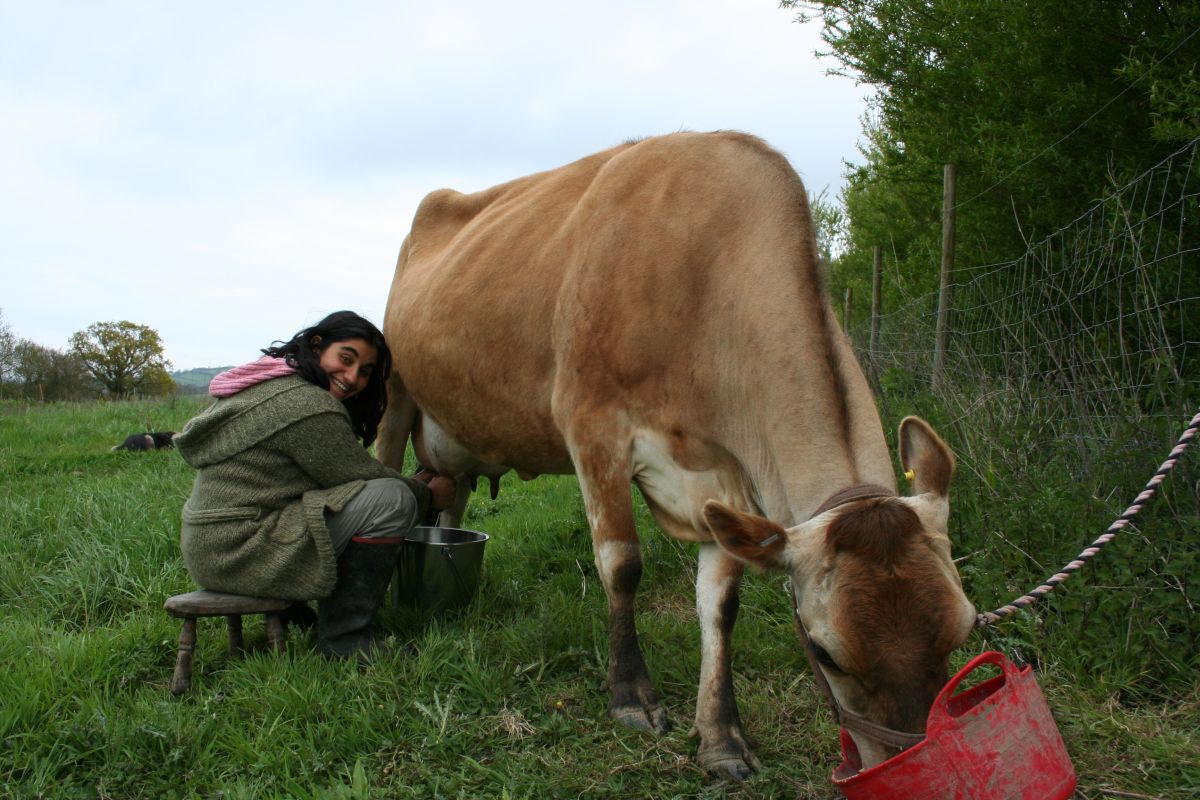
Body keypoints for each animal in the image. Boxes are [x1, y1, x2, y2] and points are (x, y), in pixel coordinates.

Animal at [374, 133, 974, 782]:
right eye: (824, 652)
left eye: (964, 630)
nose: (913, 761)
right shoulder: (593, 426)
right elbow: (621, 564)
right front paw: (632, 698)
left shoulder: (727, 478)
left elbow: (721, 601)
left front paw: (722, 737)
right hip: (392, 393)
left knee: (450, 501)